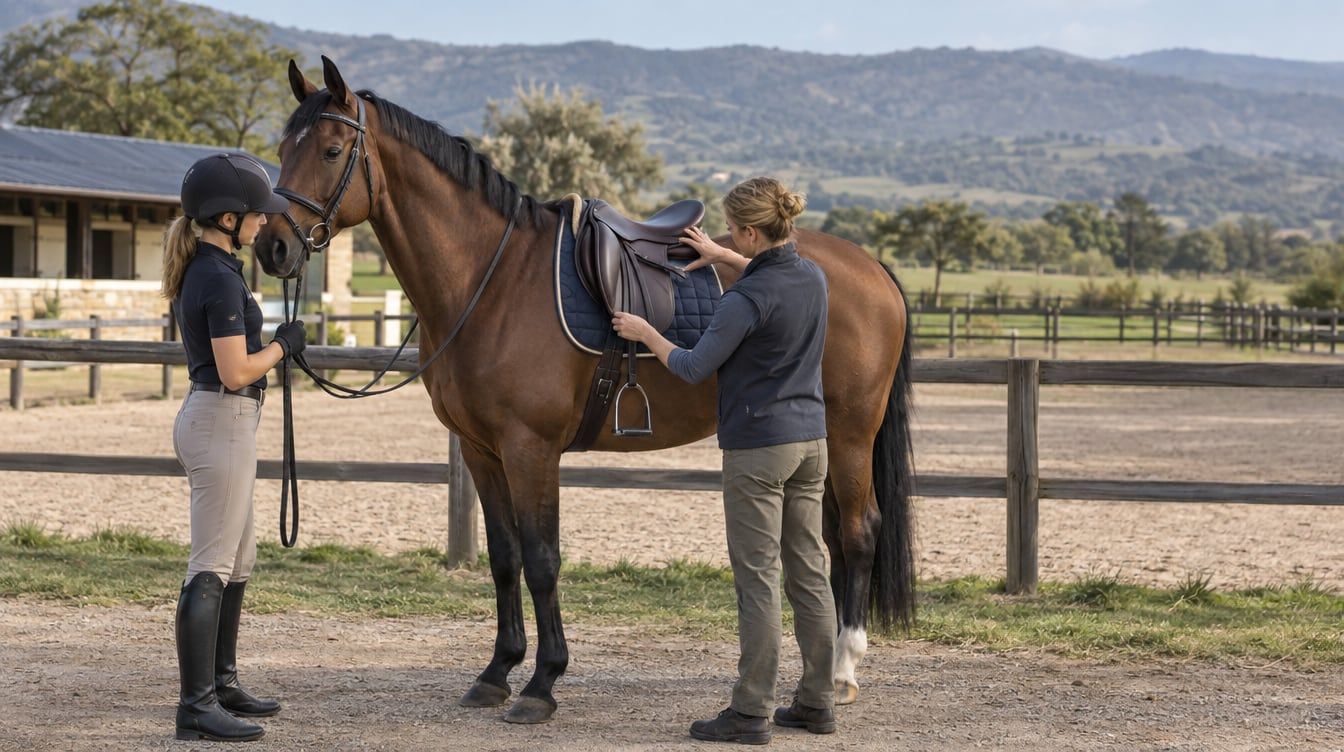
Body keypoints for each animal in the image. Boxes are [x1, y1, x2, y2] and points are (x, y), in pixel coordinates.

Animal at [255, 56, 915, 725]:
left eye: (331, 150)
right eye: (282, 150)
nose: (271, 246)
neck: (491, 281)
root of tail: (871, 267)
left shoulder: (531, 449)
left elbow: (543, 561)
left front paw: (543, 683)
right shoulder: (481, 450)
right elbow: (505, 559)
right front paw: (497, 673)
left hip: (851, 432)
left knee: (858, 532)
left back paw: (841, 671)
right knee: (831, 540)